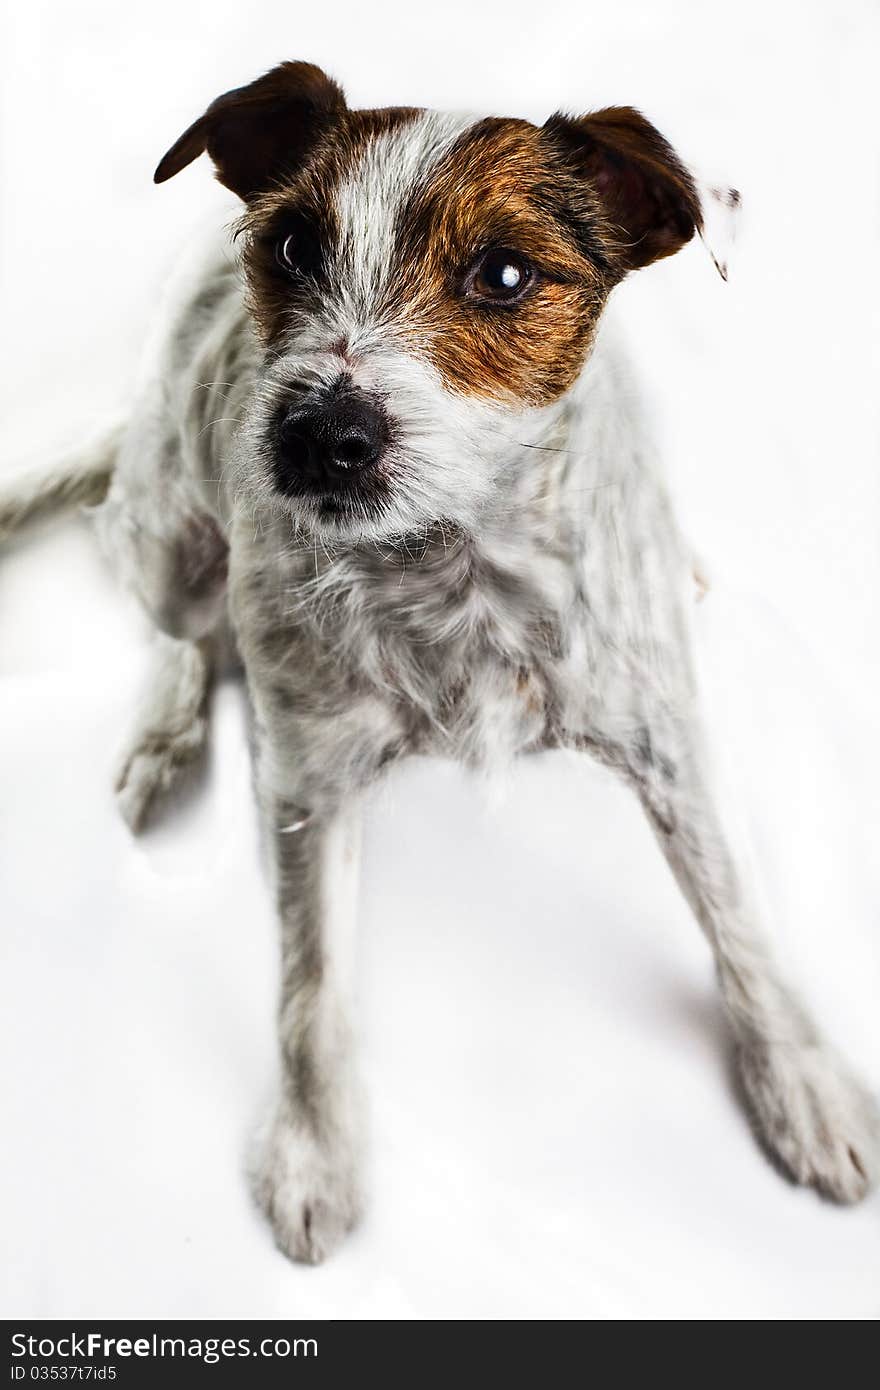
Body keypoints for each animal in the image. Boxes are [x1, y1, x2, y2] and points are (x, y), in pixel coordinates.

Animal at [3, 62, 873, 1262]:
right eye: (291, 245)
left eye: (504, 273)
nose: (317, 436)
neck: (455, 564)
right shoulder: (308, 788)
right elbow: (310, 986)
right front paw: (313, 1153)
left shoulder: (667, 746)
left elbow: (737, 918)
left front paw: (805, 1087)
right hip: (165, 528)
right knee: (181, 626)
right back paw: (164, 733)